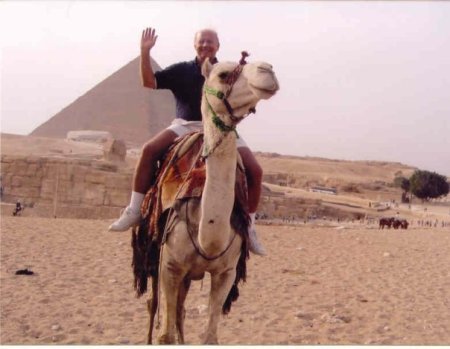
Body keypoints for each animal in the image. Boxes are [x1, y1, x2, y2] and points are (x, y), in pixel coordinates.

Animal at [132, 53, 278, 344]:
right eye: (223, 74)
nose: (267, 70)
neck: (207, 235)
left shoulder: (226, 273)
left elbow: (210, 336)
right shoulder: (170, 267)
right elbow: (165, 335)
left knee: (180, 310)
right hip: (154, 253)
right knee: (155, 305)